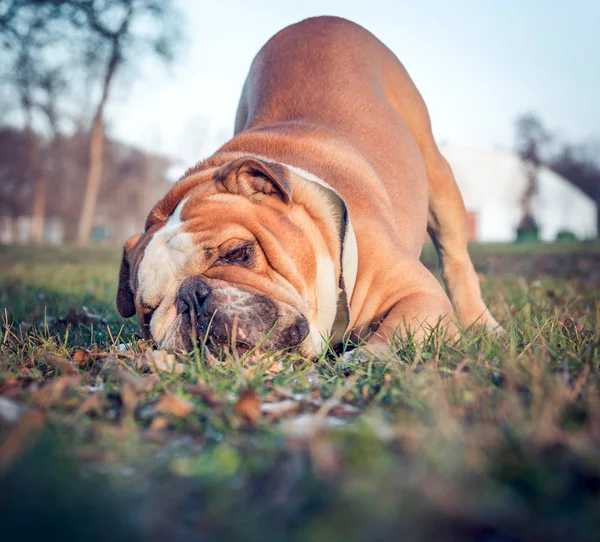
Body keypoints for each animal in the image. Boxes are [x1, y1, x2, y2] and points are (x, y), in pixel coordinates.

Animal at [115, 15, 500, 362]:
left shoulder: (418, 293)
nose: (192, 296)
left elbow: (397, 328)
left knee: (456, 261)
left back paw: (483, 325)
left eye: (238, 253)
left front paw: (366, 358)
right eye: (148, 312)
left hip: (437, 176)